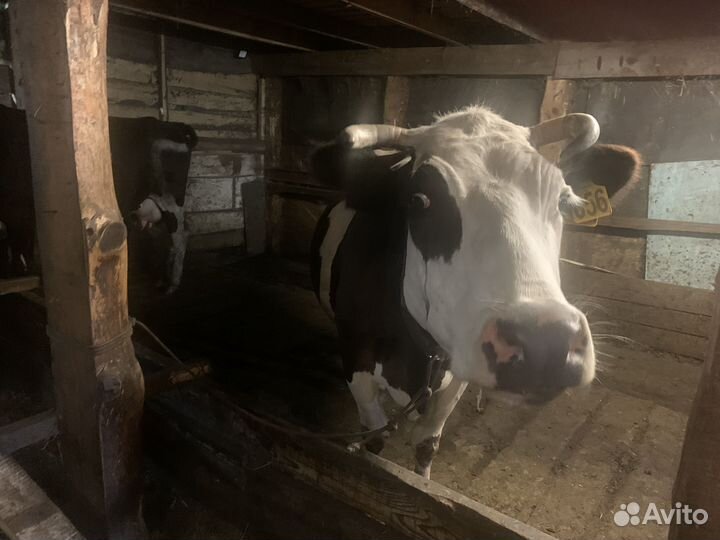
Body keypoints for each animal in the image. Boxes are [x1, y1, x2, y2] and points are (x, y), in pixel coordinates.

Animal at [0, 105, 197, 293]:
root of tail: (172, 125)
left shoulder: (18, 209)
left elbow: (18, 243)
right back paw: (161, 280)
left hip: (170, 200)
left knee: (180, 235)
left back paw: (172, 284)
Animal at [310, 106, 641, 478]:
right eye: (419, 200)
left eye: (564, 201)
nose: (546, 343)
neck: (415, 353)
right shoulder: (357, 356)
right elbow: (374, 439)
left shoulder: (454, 373)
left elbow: (426, 445)